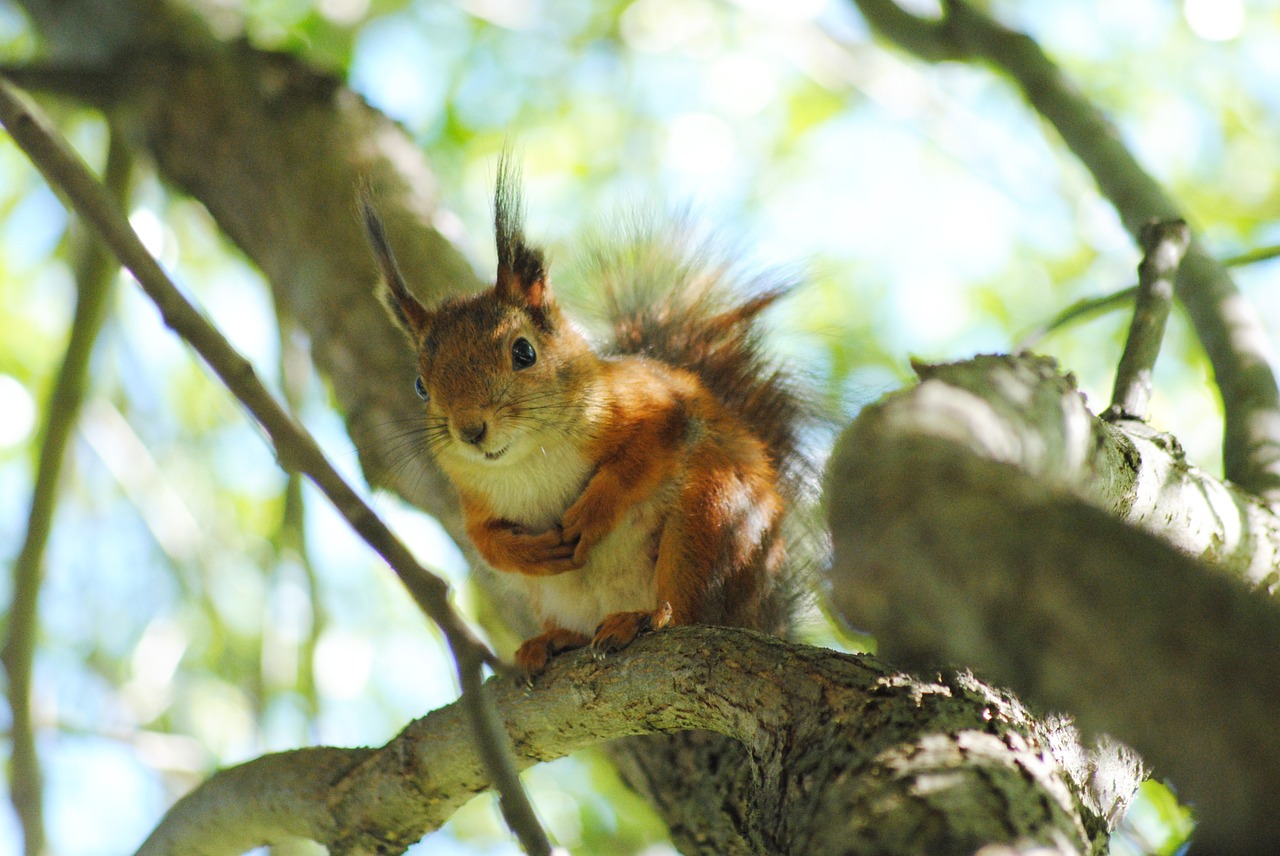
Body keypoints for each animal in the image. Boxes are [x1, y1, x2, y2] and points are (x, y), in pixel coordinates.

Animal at [366, 156, 814, 670]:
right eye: (421, 386)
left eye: (524, 352)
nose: (471, 430)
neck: (528, 461)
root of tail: (763, 616)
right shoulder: (474, 503)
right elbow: (484, 541)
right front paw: (526, 552)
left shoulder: (654, 406)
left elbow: (640, 457)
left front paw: (592, 511)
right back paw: (556, 640)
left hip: (711, 517)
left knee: (691, 609)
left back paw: (645, 618)